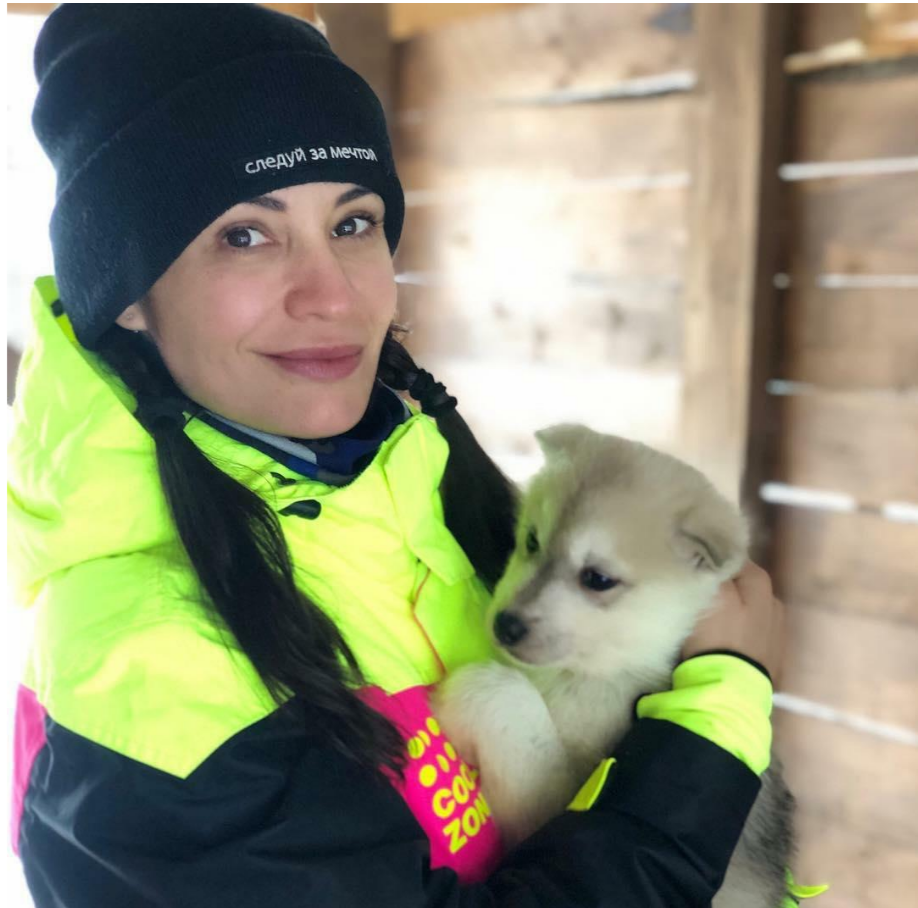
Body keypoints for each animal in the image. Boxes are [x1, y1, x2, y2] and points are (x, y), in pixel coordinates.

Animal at [432, 424, 796, 908]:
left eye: (598, 579)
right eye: (532, 540)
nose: (505, 625)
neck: (600, 671)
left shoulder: (553, 803)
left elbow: (508, 695)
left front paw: (458, 696)